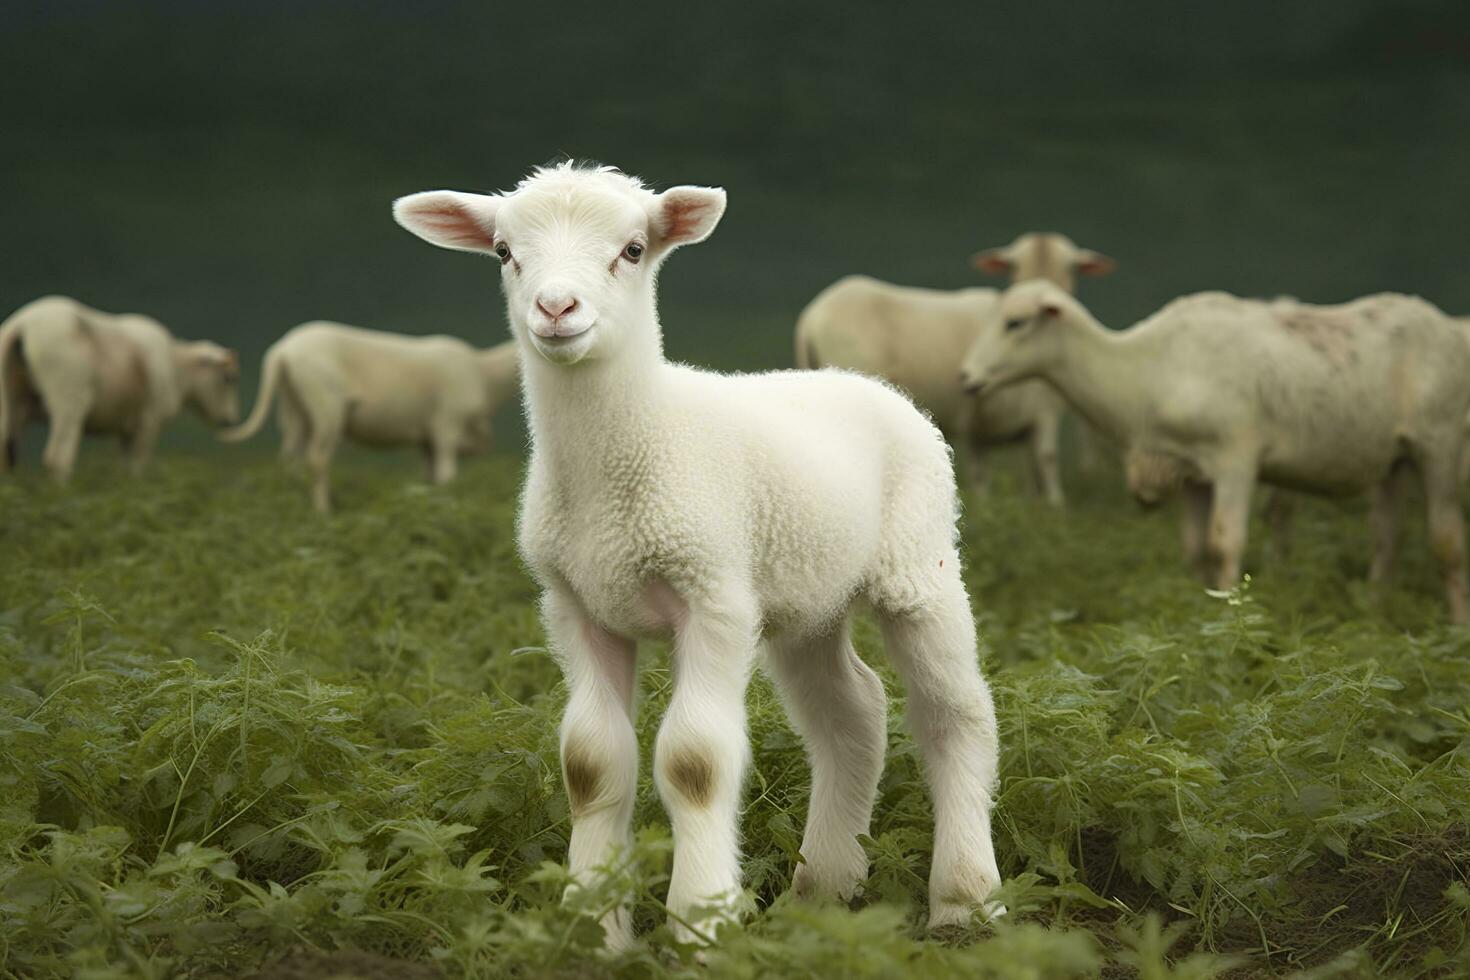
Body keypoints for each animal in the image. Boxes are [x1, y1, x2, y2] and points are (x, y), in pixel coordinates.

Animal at [0, 293, 239, 481]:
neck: (176, 367)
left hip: (10, 402)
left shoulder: (123, 429)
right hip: (68, 401)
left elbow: (122, 470)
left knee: (7, 454)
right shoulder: (148, 423)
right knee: (57, 459)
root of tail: (22, 323)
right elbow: (136, 468)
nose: (229, 420)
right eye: (229, 378)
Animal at [214, 326, 520, 517]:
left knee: (290, 458)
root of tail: (281, 352)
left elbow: (430, 478)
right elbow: (447, 477)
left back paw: (292, 503)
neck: (486, 375)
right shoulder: (446, 426)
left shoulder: (427, 440)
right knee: (316, 459)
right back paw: (323, 511)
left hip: (294, 410)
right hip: (325, 404)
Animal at [396, 164, 1005, 946]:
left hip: (918, 560)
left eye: (632, 249)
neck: (638, 442)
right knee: (853, 713)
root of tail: (867, 383)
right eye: (504, 251)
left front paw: (702, 925)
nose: (556, 308)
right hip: (804, 596)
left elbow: (696, 762)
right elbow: (590, 762)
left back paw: (965, 899)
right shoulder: (574, 604)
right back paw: (824, 888)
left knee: (955, 714)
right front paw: (593, 929)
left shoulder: (711, 595)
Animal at [793, 230, 1111, 505]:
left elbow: (1006, 473)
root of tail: (814, 315)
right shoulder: (1040, 409)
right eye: (1013, 265)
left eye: (1072, 267)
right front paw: (1056, 507)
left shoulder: (985, 422)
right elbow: (1046, 460)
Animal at [958, 283, 1470, 620]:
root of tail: (1444, 325)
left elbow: (1224, 545)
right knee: (1387, 538)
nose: (965, 377)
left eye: (1016, 322)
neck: (1143, 371)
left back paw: (1454, 627)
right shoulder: (1191, 472)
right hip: (1393, 459)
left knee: (1447, 543)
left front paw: (1229, 620)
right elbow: (1194, 551)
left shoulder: (1235, 460)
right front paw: (1198, 619)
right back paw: (1373, 616)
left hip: (1440, 444)